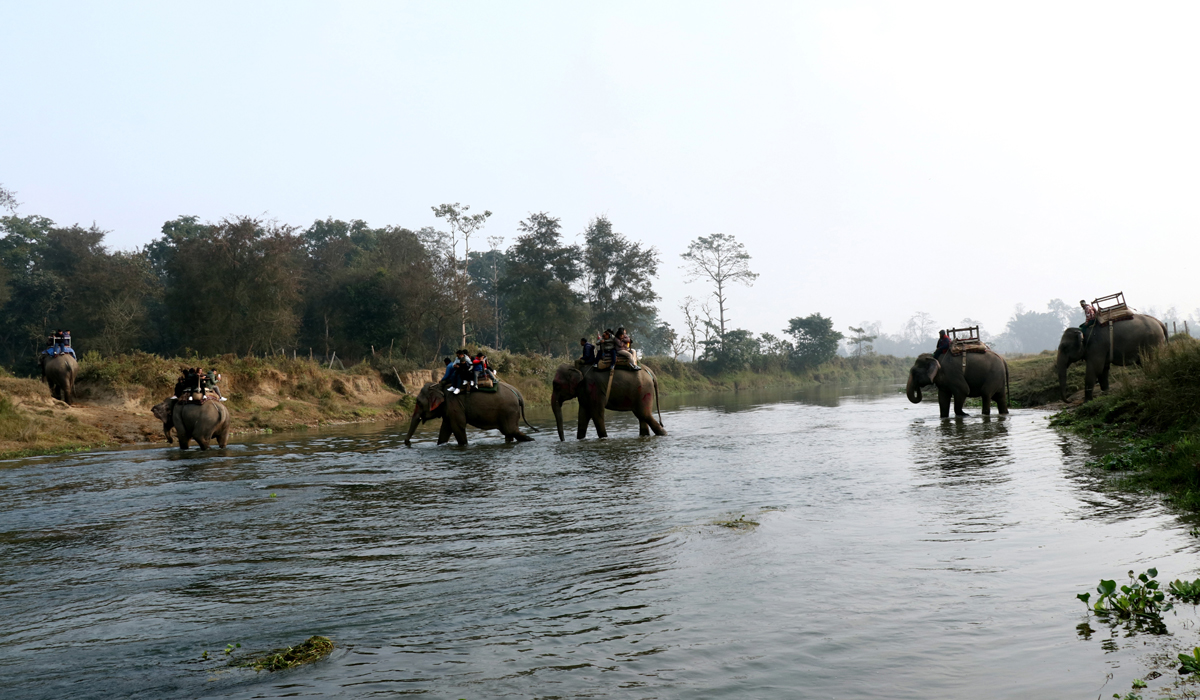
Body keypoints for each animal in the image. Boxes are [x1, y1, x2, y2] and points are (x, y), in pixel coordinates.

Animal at [403, 381, 535, 446]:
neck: (438, 386)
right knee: (509, 432)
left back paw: (531, 439)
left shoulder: (454, 404)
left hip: (509, 410)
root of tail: (518, 394)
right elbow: (445, 429)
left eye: (418, 402)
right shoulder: (449, 408)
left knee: (510, 430)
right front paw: (440, 444)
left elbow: (458, 427)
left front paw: (464, 445)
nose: (408, 443)